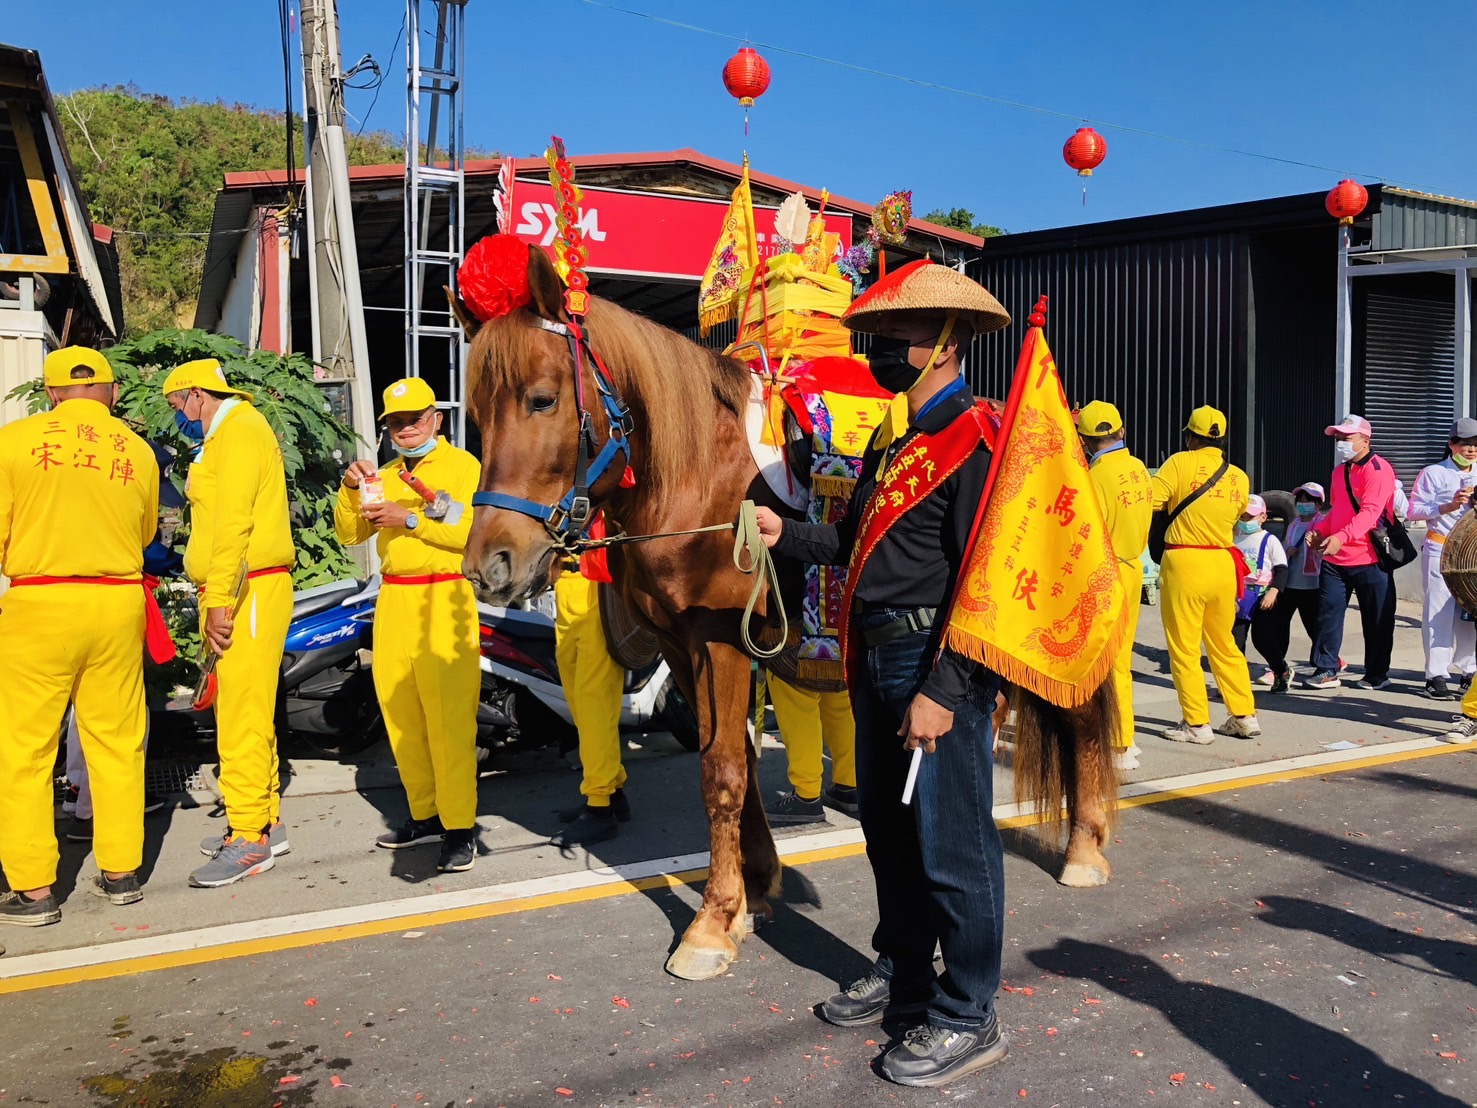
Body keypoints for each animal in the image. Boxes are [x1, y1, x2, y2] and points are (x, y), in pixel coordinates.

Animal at [454, 246, 1110, 986]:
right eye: (476, 411)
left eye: (541, 399)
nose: (491, 564)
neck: (699, 474)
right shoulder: (682, 647)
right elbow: (731, 756)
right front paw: (755, 889)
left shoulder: (720, 642)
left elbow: (721, 775)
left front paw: (711, 925)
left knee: (1081, 716)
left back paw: (1084, 850)